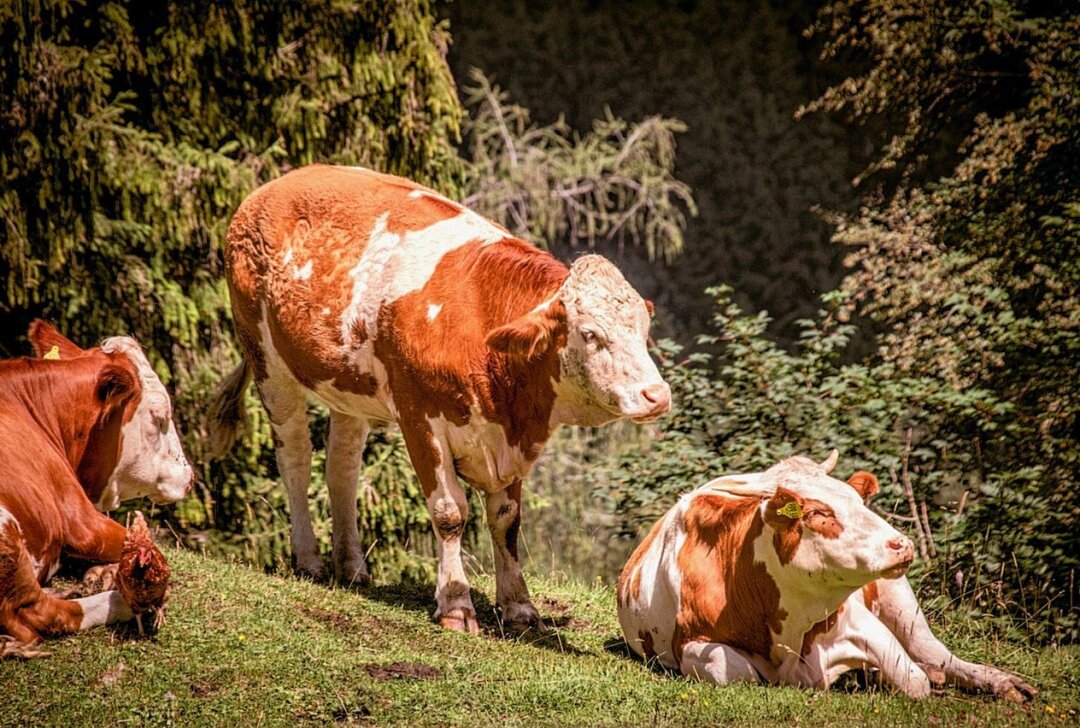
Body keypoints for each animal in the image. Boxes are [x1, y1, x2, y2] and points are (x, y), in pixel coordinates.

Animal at [206, 163, 669, 630]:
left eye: (644, 330)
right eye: (590, 334)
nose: (657, 395)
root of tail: (275, 186)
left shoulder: (511, 436)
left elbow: (506, 521)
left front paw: (520, 607)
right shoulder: (419, 417)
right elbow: (450, 513)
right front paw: (455, 605)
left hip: (347, 384)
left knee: (342, 467)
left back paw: (351, 565)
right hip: (267, 361)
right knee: (296, 457)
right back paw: (309, 560)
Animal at [617, 453, 1036, 695]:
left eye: (860, 502)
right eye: (820, 513)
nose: (901, 544)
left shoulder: (856, 619)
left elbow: (913, 680)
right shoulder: (690, 643)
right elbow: (736, 670)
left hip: (900, 598)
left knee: (935, 653)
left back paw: (999, 681)